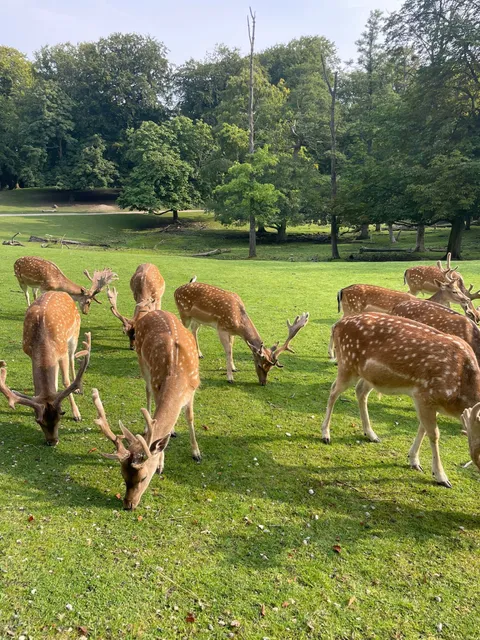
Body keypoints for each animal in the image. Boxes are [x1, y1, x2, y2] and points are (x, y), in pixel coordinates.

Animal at [0, 291, 91, 445]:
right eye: (38, 421)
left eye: (60, 417)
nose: (52, 441)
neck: (43, 341)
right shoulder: (30, 353)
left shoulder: (62, 352)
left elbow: (66, 382)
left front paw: (76, 414)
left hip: (74, 335)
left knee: (73, 358)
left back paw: (78, 389)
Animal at [92, 309, 201, 510]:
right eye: (123, 476)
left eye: (143, 477)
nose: (128, 504)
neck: (177, 378)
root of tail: (153, 311)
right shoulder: (158, 386)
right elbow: (158, 425)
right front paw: (160, 464)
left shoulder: (193, 388)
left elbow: (189, 417)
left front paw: (196, 453)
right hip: (142, 360)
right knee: (147, 390)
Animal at [174, 278, 309, 385]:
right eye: (259, 365)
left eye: (270, 368)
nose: (263, 383)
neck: (238, 322)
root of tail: (176, 290)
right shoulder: (221, 328)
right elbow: (228, 351)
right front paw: (230, 378)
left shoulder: (231, 332)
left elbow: (231, 348)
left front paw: (234, 368)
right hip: (184, 313)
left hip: (197, 319)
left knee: (194, 330)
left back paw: (199, 354)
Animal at [322, 312, 480, 487]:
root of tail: (337, 325)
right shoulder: (425, 395)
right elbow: (434, 434)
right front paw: (441, 477)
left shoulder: (432, 402)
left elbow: (423, 428)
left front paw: (413, 460)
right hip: (347, 363)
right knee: (333, 391)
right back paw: (326, 434)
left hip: (369, 375)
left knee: (360, 391)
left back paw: (371, 434)